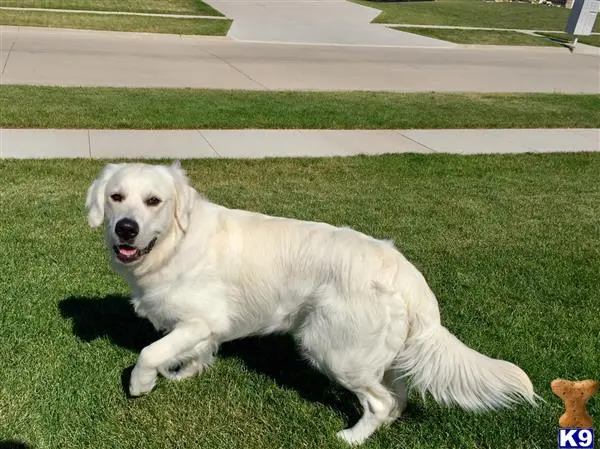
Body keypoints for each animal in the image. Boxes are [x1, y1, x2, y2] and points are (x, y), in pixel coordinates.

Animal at [85, 162, 540, 444]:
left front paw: (141, 385)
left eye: (153, 201)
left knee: (381, 400)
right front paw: (182, 373)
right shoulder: (203, 325)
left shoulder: (201, 318)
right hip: (379, 355)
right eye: (116, 197)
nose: (126, 229)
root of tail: (407, 275)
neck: (174, 243)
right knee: (398, 395)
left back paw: (353, 437)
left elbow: (150, 351)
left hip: (333, 348)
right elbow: (193, 352)